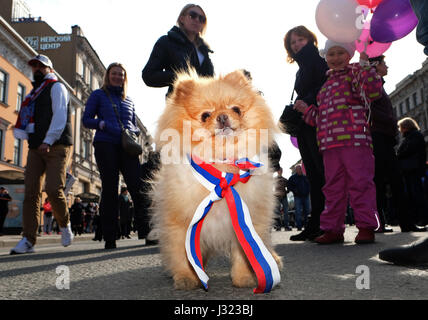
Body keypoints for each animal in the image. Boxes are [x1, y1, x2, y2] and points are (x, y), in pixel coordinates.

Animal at [150, 69, 280, 292]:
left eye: (236, 109)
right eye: (205, 115)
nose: (222, 117)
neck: (222, 167)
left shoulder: (245, 220)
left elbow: (244, 254)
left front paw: (243, 278)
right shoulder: (180, 223)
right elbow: (182, 255)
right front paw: (186, 278)